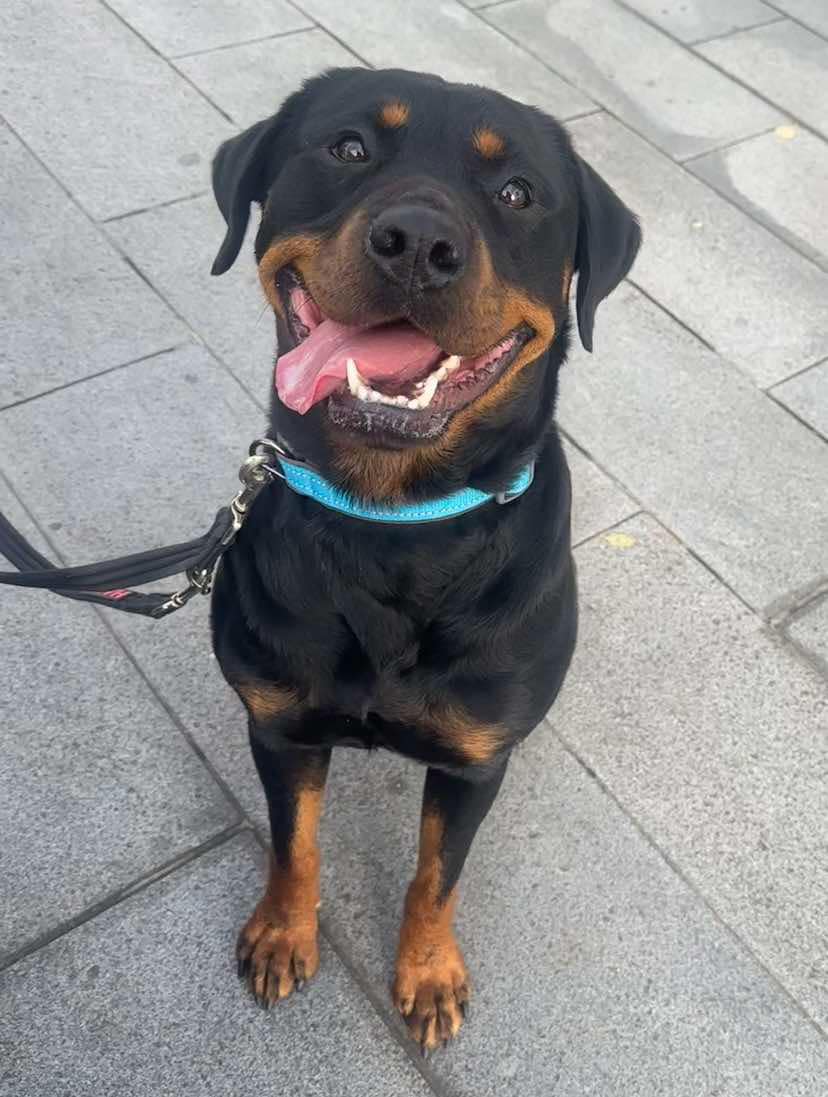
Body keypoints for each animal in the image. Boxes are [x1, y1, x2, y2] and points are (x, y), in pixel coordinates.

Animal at [208, 62, 640, 1053]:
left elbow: (436, 875)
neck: (393, 519)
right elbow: (295, 843)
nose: (417, 243)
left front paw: (430, 971)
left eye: (517, 192)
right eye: (349, 146)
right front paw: (284, 930)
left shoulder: (475, 758)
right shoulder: (280, 723)